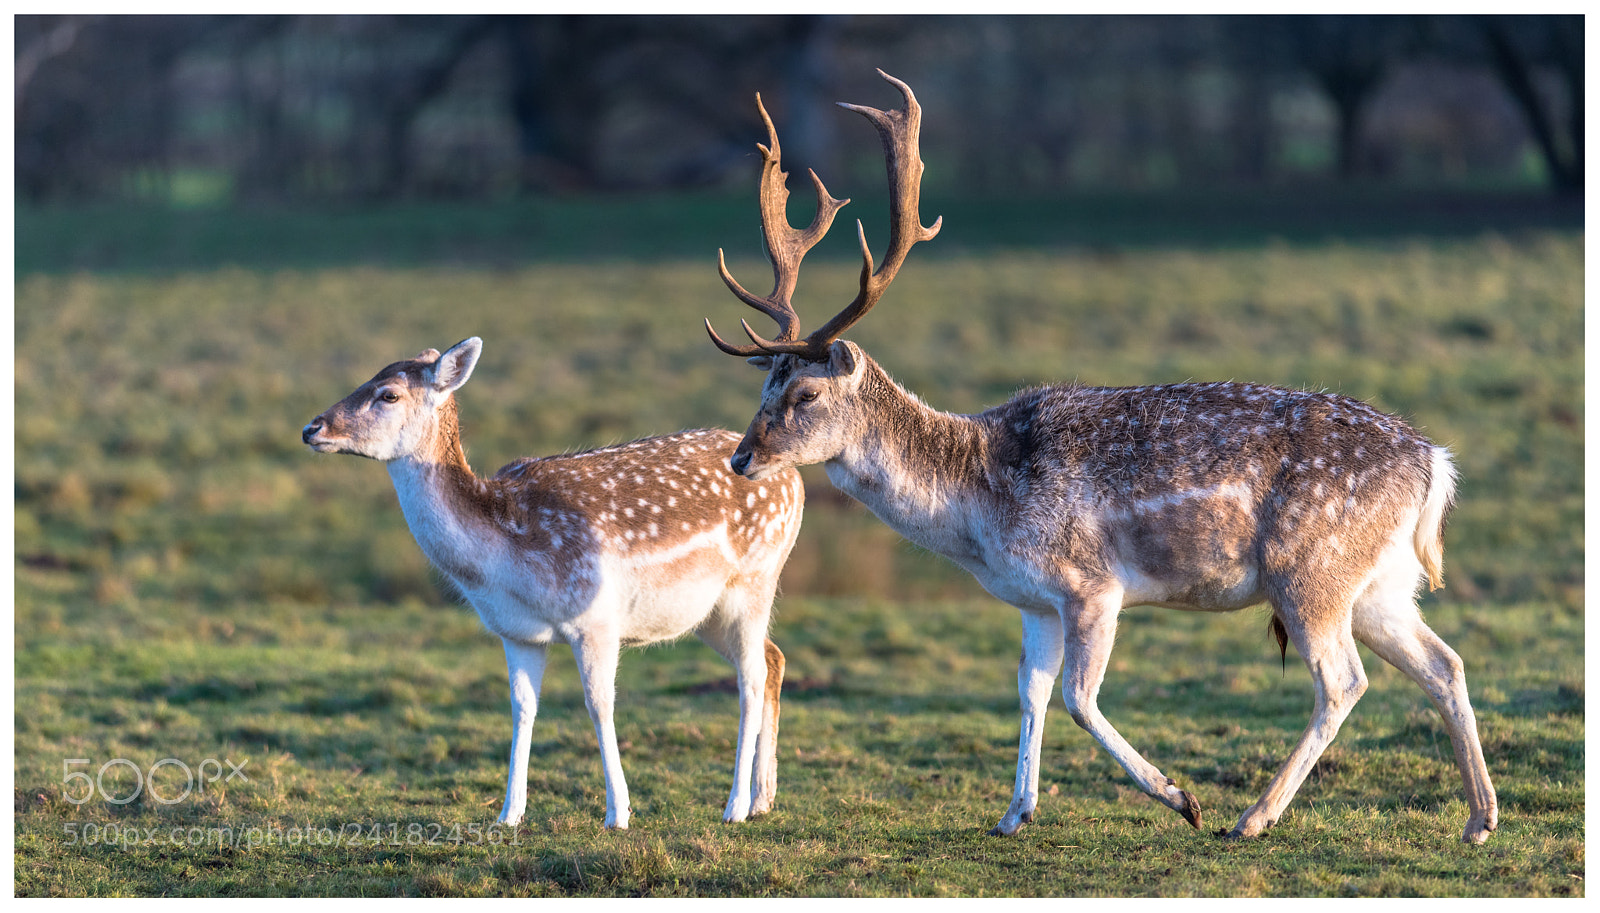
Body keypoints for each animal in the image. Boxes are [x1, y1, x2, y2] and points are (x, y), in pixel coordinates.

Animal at [302, 336, 804, 830]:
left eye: (388, 394)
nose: (312, 428)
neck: (502, 561)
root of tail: (796, 479)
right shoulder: (517, 632)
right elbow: (523, 709)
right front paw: (509, 813)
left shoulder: (595, 620)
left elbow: (599, 705)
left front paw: (618, 813)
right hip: (707, 614)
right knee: (774, 658)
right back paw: (764, 798)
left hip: (755, 579)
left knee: (752, 677)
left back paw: (736, 805)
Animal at [703, 69, 1497, 844]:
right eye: (764, 383)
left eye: (804, 391)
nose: (742, 458)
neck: (979, 512)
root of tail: (1435, 464)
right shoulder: (1036, 601)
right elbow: (1030, 691)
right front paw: (1014, 813)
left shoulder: (1091, 585)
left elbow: (1080, 698)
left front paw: (1181, 798)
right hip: (1379, 582)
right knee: (1444, 662)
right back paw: (1478, 819)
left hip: (1311, 571)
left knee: (1343, 681)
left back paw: (1251, 817)